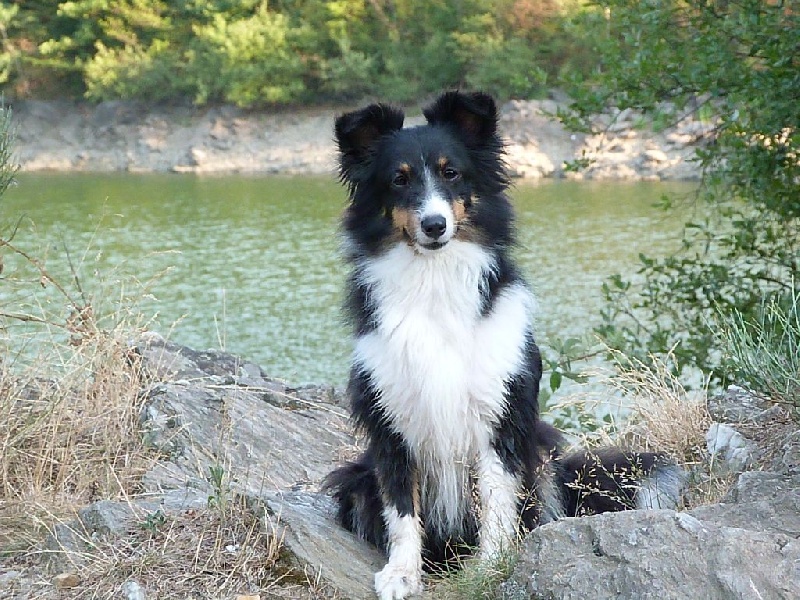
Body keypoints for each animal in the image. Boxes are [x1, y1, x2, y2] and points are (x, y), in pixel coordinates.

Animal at [324, 91, 680, 596]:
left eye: (451, 172)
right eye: (399, 179)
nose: (434, 225)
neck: (435, 281)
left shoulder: (500, 412)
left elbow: (497, 498)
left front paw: (491, 566)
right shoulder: (391, 419)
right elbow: (402, 506)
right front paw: (401, 574)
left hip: (545, 452)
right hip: (355, 481)